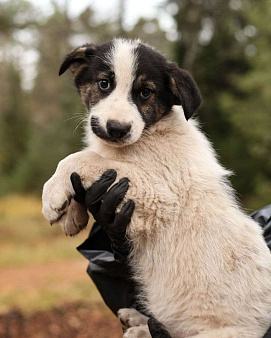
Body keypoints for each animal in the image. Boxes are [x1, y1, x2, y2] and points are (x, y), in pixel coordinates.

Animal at [42, 39, 271, 336]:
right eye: (104, 84)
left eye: (145, 92)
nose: (117, 129)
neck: (147, 134)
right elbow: (84, 174)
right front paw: (71, 215)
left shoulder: (161, 193)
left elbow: (82, 159)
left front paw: (52, 196)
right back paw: (136, 320)